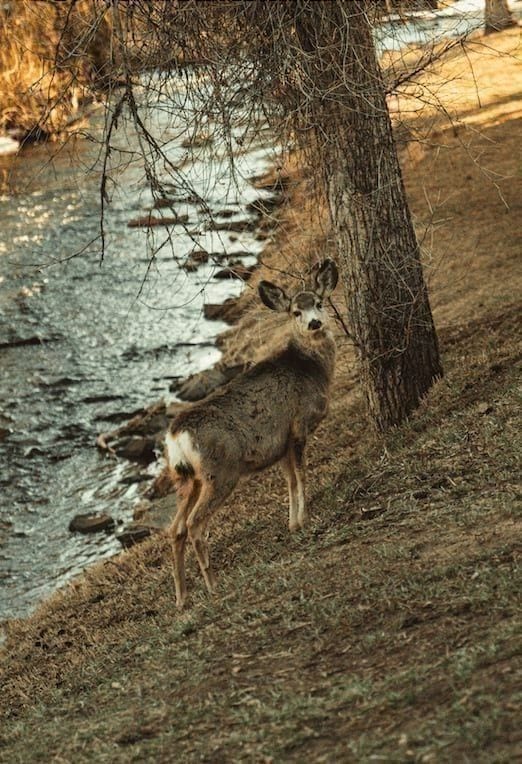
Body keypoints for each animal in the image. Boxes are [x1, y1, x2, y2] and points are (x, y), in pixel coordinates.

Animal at [165, 258, 339, 608]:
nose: (314, 323)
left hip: (186, 478)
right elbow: (302, 475)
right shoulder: (298, 425)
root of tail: (176, 436)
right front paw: (305, 519)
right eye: (295, 312)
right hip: (220, 470)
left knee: (175, 529)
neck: (311, 369)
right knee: (194, 524)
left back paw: (181, 598)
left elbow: (290, 481)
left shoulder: (281, 443)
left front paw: (293, 523)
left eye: (318, 302)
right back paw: (213, 585)